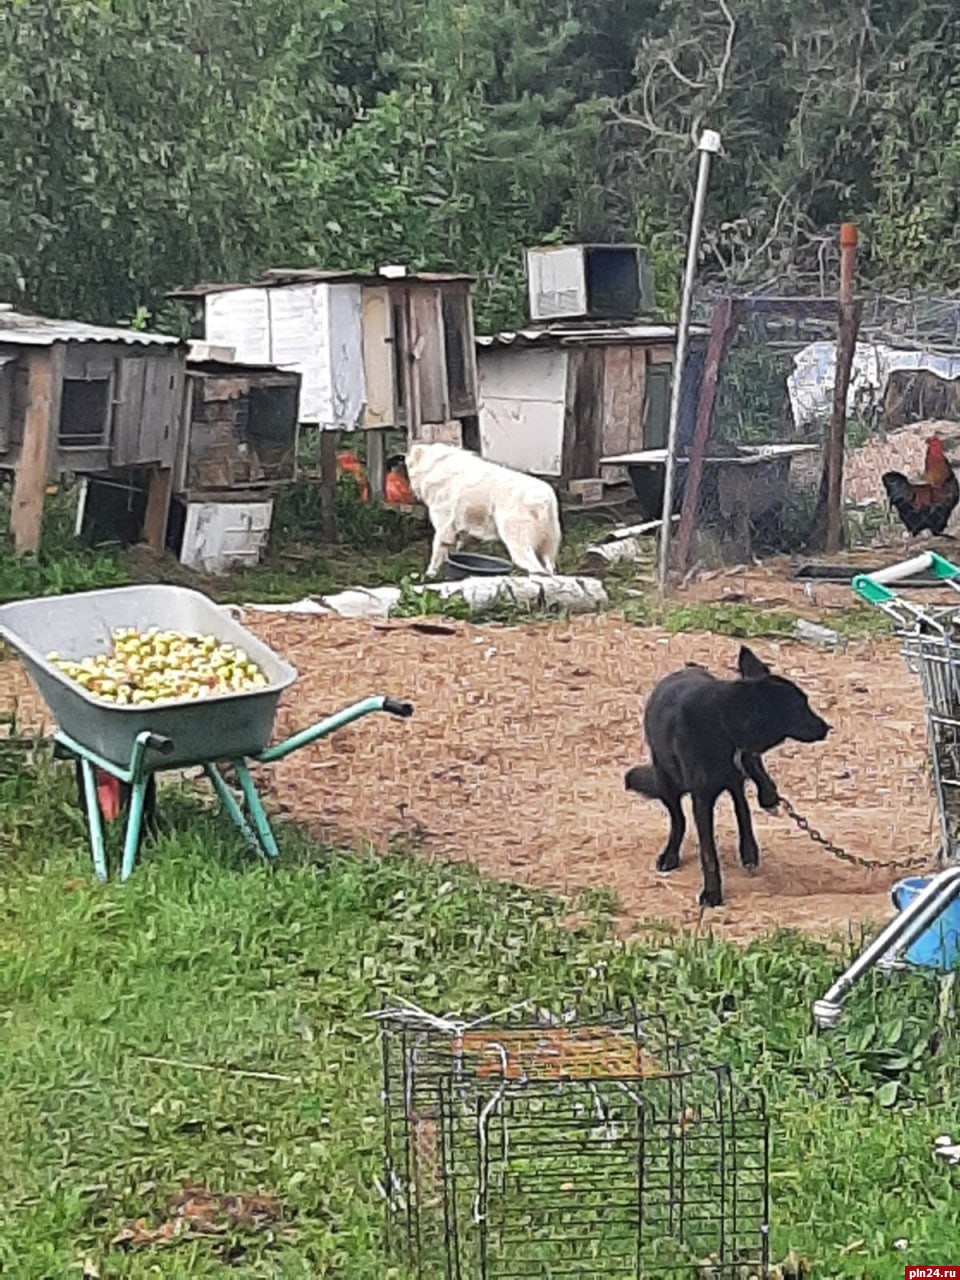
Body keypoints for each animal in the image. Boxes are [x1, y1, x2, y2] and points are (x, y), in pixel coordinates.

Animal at [407, 442, 563, 578]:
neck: (434, 466)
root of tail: (544, 498)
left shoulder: (444, 521)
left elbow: (439, 548)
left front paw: (430, 574)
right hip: (549, 541)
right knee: (548, 565)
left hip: (516, 533)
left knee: (532, 564)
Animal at [627, 645, 829, 906]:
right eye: (799, 707)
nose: (827, 728)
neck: (724, 724)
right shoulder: (702, 800)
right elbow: (708, 852)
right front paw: (712, 893)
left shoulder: (744, 758)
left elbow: (755, 784)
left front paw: (768, 799)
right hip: (666, 781)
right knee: (679, 820)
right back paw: (670, 854)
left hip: (728, 779)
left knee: (741, 806)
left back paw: (749, 848)